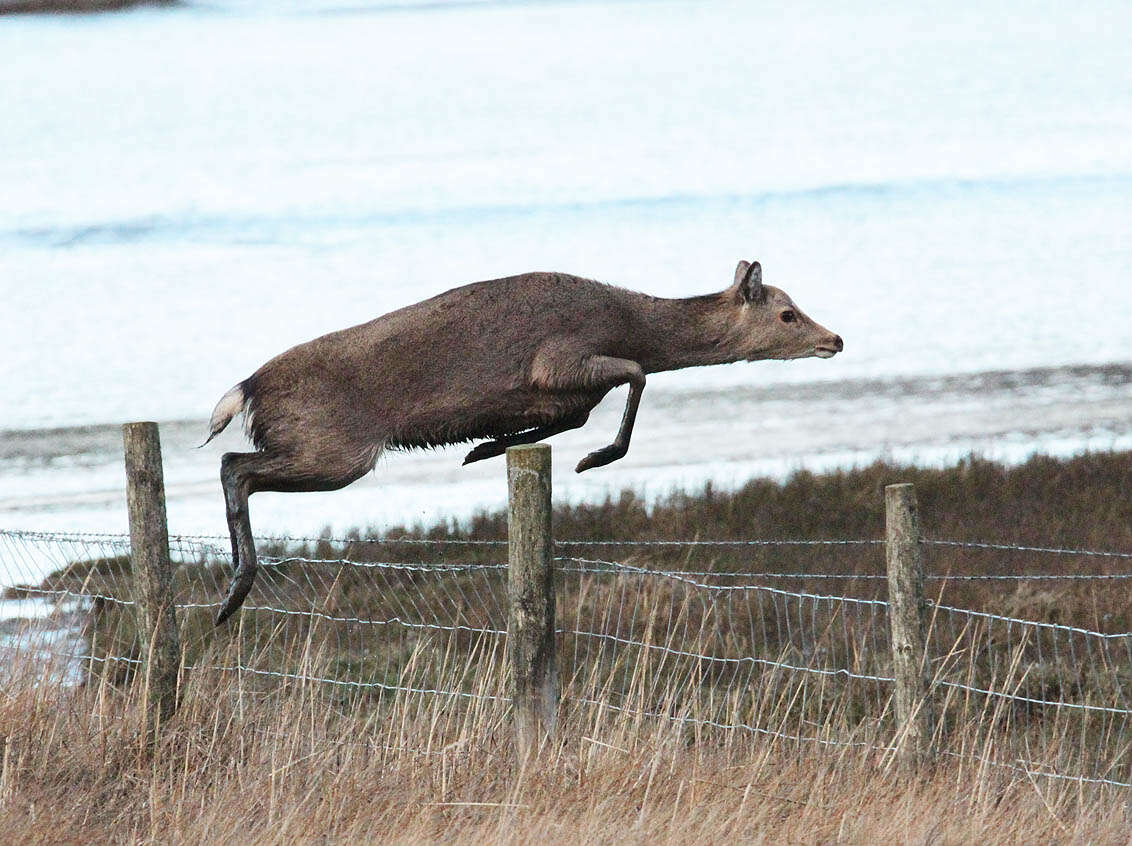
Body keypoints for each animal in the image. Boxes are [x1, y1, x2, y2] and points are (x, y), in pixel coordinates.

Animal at [206, 261, 842, 625]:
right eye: (787, 314)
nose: (834, 339)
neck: (628, 323)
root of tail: (245, 391)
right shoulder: (559, 360)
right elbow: (637, 374)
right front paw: (595, 458)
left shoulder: (566, 396)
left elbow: (572, 418)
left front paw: (487, 447)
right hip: (334, 446)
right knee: (234, 464)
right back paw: (235, 590)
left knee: (235, 464)